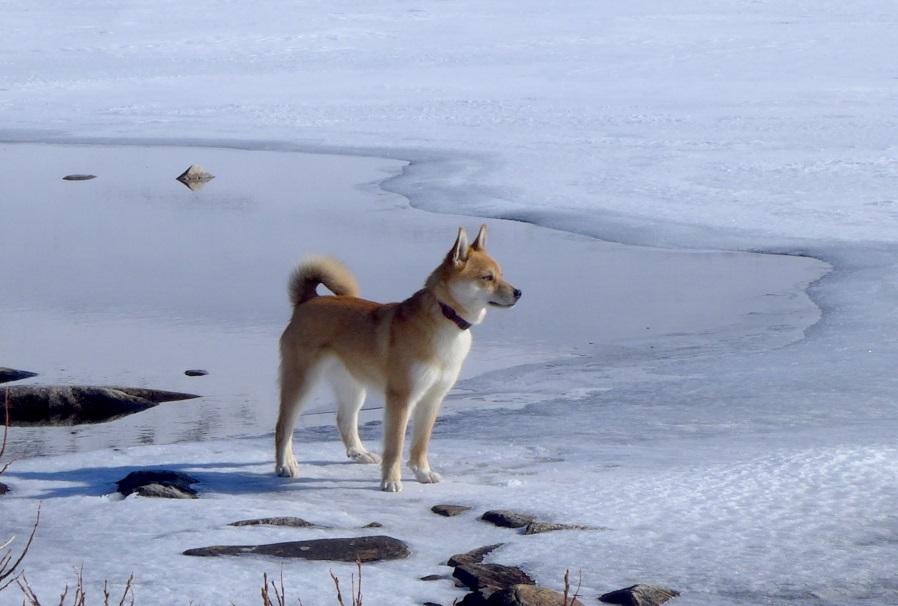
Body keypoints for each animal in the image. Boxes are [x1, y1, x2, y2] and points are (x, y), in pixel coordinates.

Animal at [276, 226, 520, 492]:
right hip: (302, 383)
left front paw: (422, 473)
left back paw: (359, 453)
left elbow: (420, 444)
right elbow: (395, 447)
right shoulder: (401, 398)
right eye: (487, 277)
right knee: (283, 426)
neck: (446, 318)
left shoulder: (432, 399)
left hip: (353, 387)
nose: (519, 292)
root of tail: (308, 300)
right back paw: (285, 465)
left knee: (344, 420)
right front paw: (391, 481)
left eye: (501, 274)